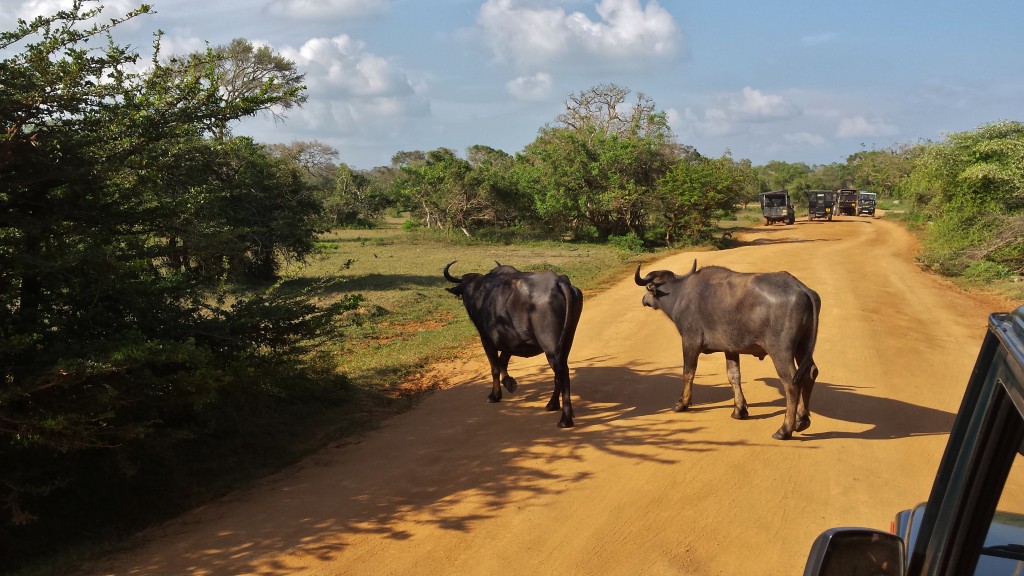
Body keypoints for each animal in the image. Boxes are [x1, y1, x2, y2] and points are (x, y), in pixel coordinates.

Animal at [442, 260, 585, 426]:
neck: (479, 293)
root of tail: (559, 281)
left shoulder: (487, 340)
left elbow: (495, 367)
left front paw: (495, 395)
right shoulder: (510, 341)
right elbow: (503, 361)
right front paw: (509, 382)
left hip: (550, 347)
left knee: (562, 373)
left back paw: (565, 418)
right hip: (567, 340)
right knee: (560, 372)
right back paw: (552, 404)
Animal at [630, 260, 823, 438]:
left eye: (647, 288)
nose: (644, 300)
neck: (679, 294)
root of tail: (800, 288)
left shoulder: (690, 341)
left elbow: (688, 372)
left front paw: (682, 403)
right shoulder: (730, 349)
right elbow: (734, 376)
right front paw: (739, 410)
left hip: (781, 351)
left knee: (791, 382)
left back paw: (785, 429)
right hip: (802, 345)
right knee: (810, 374)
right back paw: (802, 420)